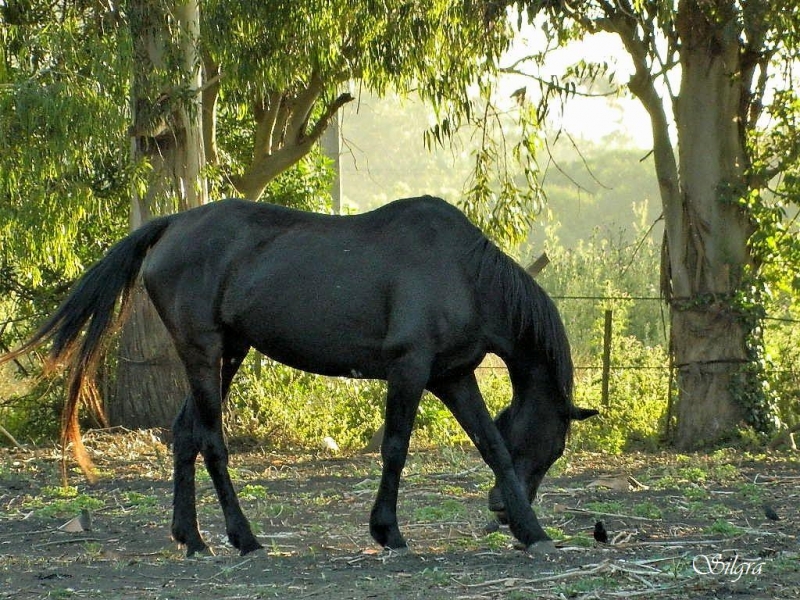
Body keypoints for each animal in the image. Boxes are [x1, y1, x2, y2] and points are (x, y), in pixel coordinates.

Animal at [4, 198, 592, 556]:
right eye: (554, 446)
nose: (499, 510)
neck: (464, 274)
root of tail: (173, 224)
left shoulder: (452, 377)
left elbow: (492, 446)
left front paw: (534, 531)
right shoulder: (410, 370)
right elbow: (395, 449)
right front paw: (388, 530)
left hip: (228, 354)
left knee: (184, 435)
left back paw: (193, 538)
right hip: (204, 352)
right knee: (211, 441)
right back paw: (244, 538)